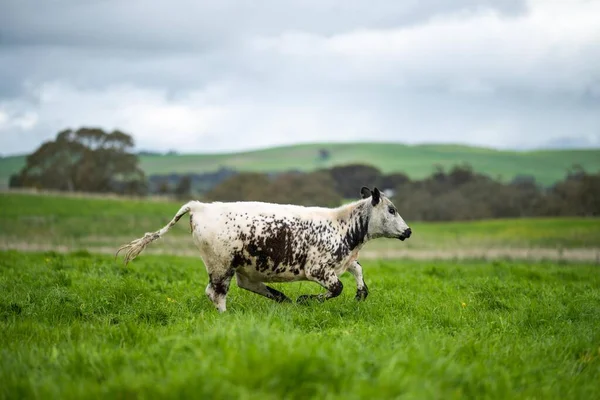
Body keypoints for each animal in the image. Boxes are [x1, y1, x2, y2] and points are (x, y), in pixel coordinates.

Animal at [115, 186, 410, 310]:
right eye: (392, 209)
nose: (408, 231)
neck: (343, 227)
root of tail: (200, 206)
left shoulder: (344, 261)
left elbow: (358, 271)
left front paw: (361, 294)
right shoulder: (318, 270)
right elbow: (337, 288)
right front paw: (307, 300)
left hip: (240, 267)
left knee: (244, 285)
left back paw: (281, 299)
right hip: (221, 265)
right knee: (216, 293)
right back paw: (228, 317)